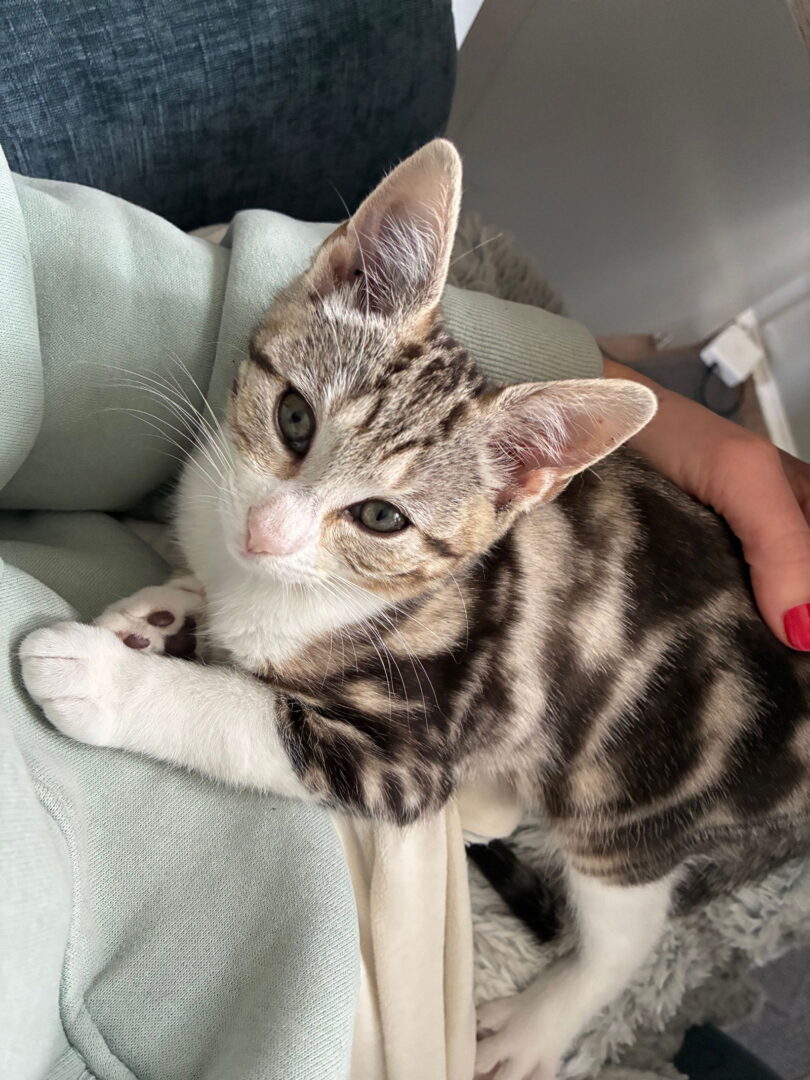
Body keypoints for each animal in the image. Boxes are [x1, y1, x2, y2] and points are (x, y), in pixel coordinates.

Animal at [21, 139, 810, 1080]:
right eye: (294, 418)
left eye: (381, 518)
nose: (264, 530)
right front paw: (163, 613)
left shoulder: (407, 751)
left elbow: (244, 715)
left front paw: (102, 676)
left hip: (628, 788)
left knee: (629, 927)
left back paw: (541, 1023)